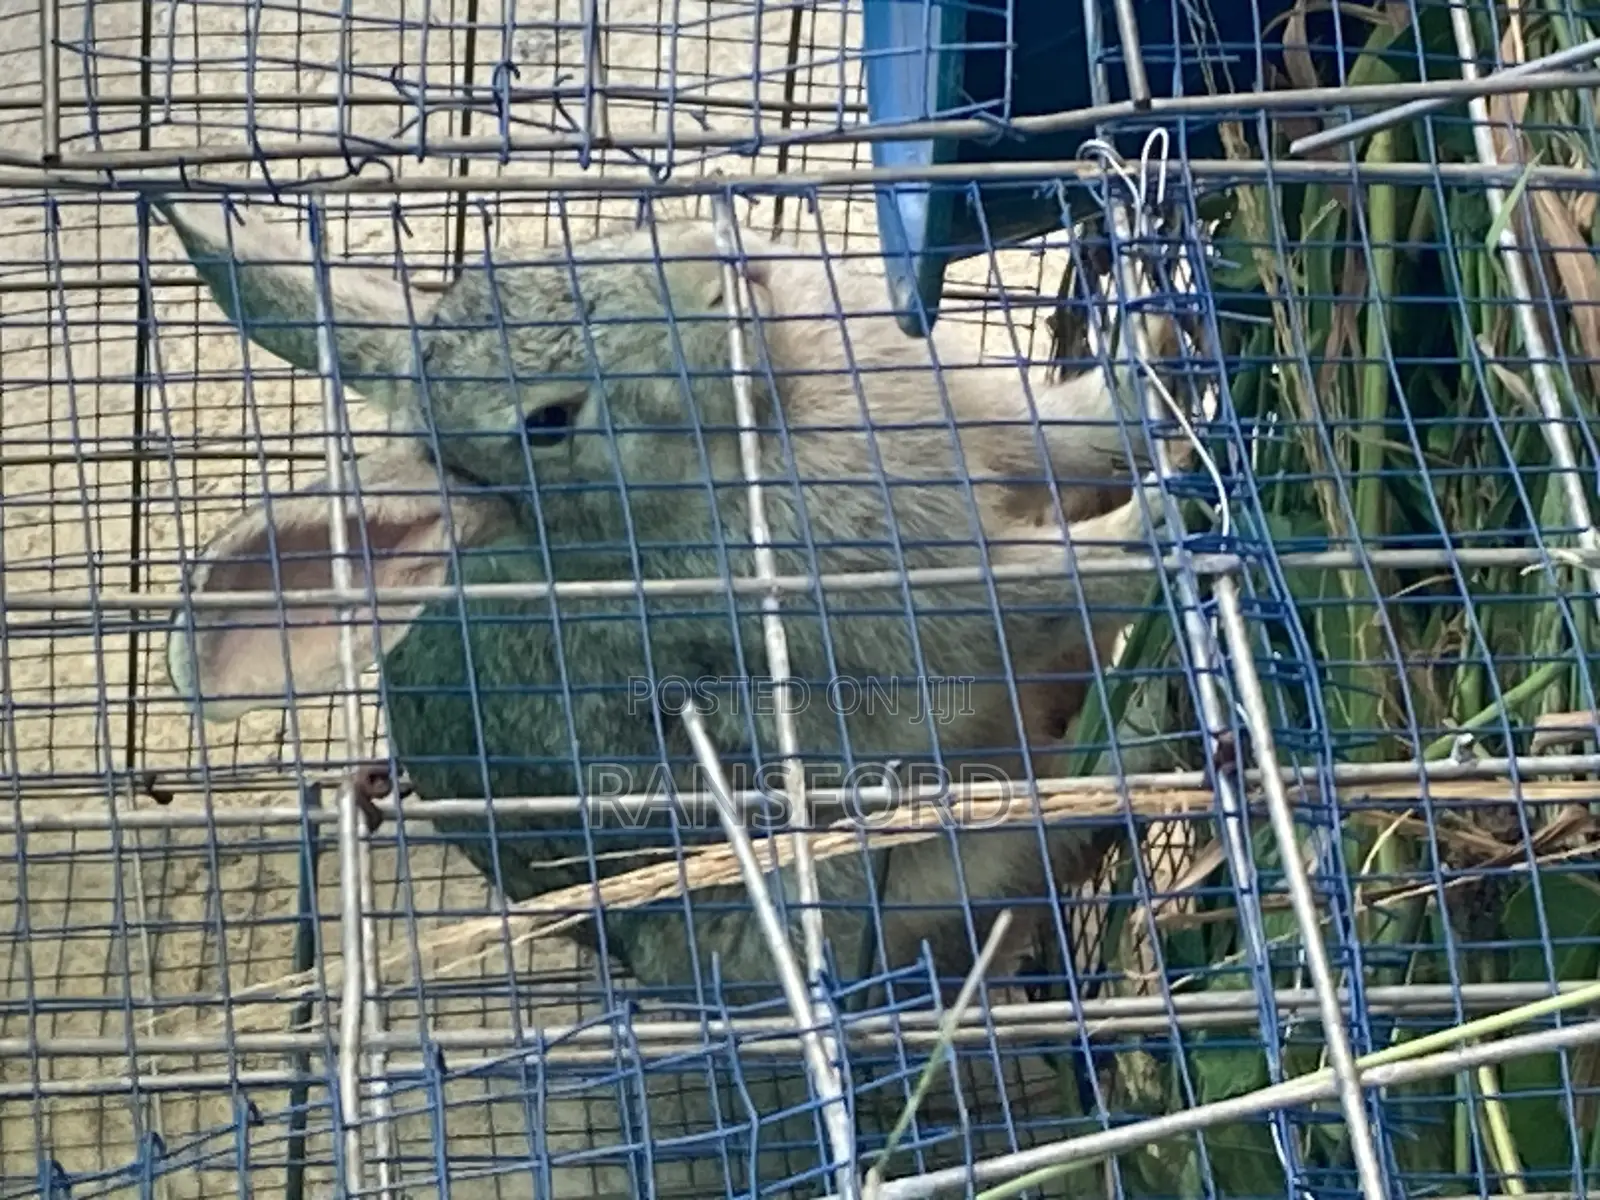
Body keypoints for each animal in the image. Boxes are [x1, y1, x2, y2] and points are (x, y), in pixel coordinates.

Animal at [157, 198, 1167, 1000]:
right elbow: (1052, 583)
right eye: (548, 423)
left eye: (549, 253)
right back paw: (1137, 750)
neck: (768, 413)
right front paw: (1169, 513)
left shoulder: (994, 424)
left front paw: (1155, 359)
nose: (722, 271)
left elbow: (1075, 432)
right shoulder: (920, 605)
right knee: (1035, 833)